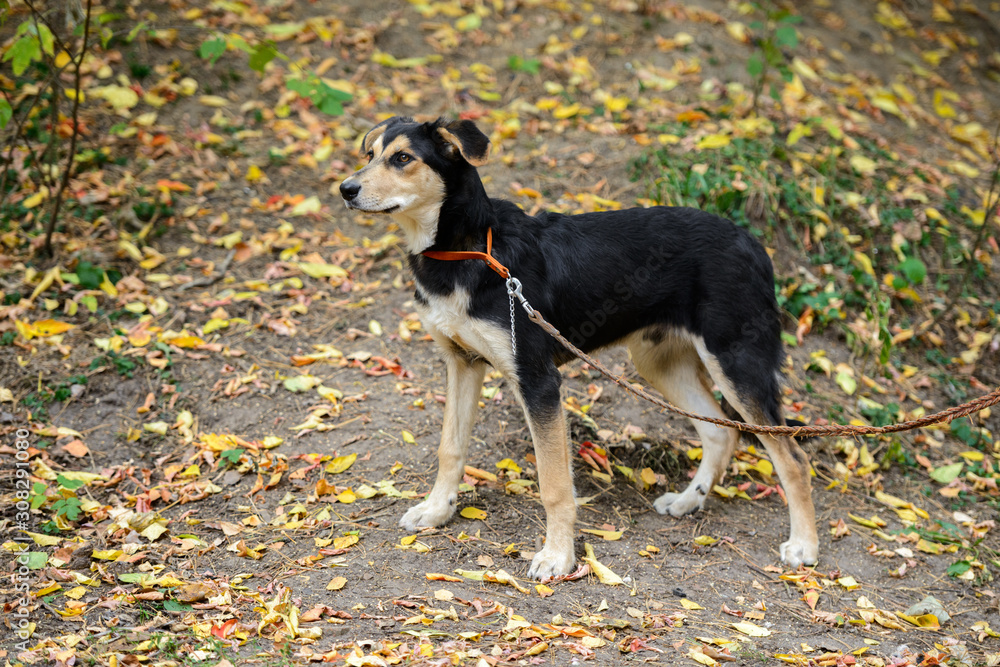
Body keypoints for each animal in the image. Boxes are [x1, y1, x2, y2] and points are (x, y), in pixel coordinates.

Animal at [340, 117, 816, 580]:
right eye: (370, 154)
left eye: (403, 158)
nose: (346, 189)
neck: (467, 248)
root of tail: (753, 243)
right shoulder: (462, 364)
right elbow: (450, 448)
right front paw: (437, 511)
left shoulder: (538, 381)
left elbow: (554, 485)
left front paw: (558, 557)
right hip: (660, 363)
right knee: (720, 431)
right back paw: (687, 501)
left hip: (735, 363)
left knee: (793, 456)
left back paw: (804, 546)